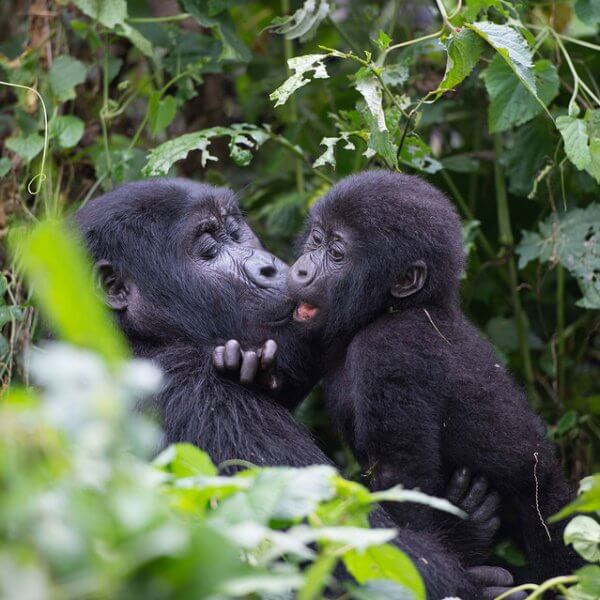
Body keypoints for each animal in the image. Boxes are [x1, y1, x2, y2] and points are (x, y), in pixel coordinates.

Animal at [77, 178, 520, 600]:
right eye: (207, 248)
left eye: (236, 231)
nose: (270, 268)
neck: (131, 336)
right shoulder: (200, 395)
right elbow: (358, 547)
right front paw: (469, 544)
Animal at [286, 169, 580, 580]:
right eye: (316, 239)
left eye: (337, 254)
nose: (300, 269)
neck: (403, 306)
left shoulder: (391, 349)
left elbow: (405, 481)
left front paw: (457, 543)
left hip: (549, 509)